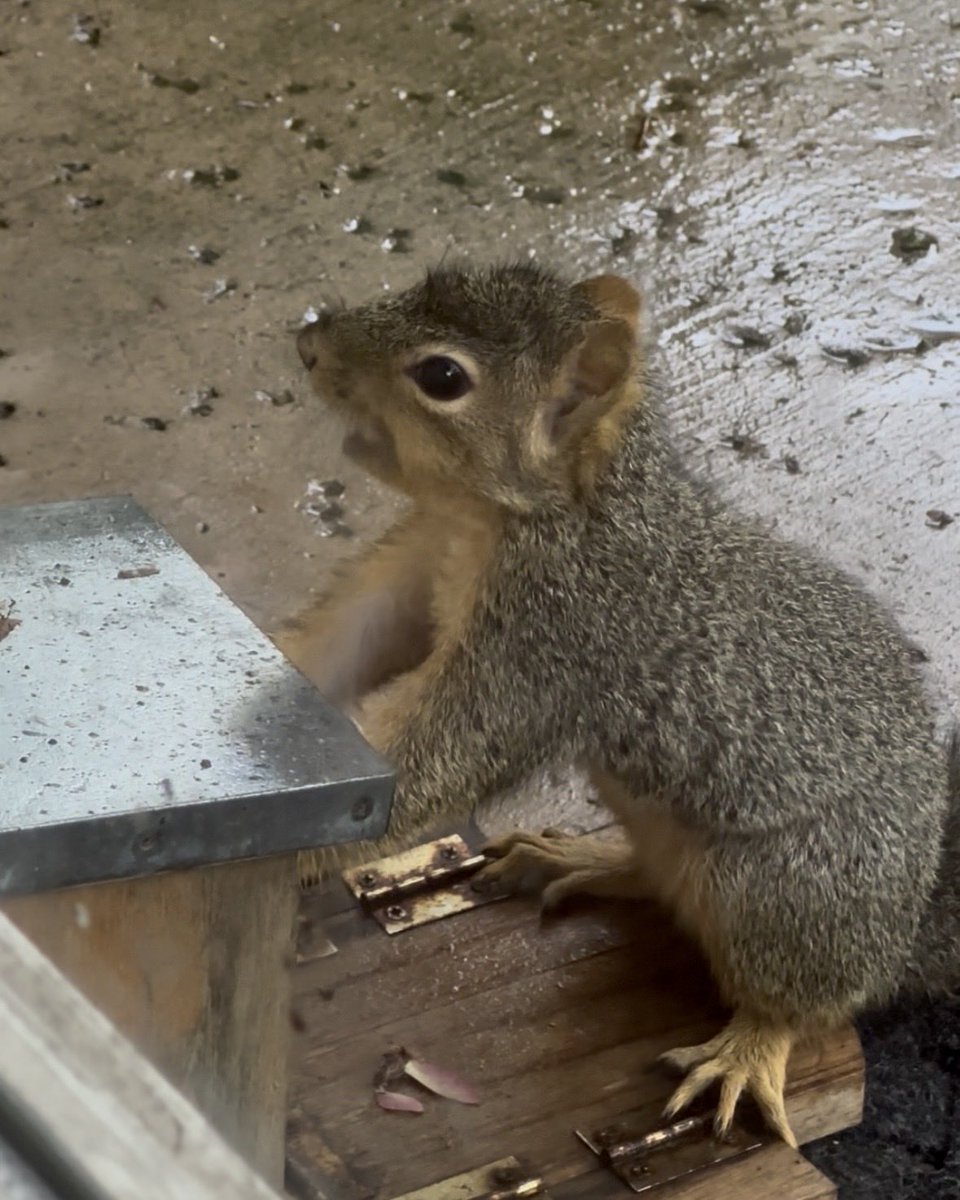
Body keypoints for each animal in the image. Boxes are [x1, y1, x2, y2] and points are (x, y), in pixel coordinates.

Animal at [278, 262, 960, 1147]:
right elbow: (338, 643)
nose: (309, 347)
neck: (545, 512)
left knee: (805, 1004)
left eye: (442, 378)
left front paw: (286, 855)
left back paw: (744, 1051)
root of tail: (908, 925)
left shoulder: (547, 640)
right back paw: (583, 859)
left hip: (783, 892)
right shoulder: (418, 566)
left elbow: (440, 756)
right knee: (658, 883)